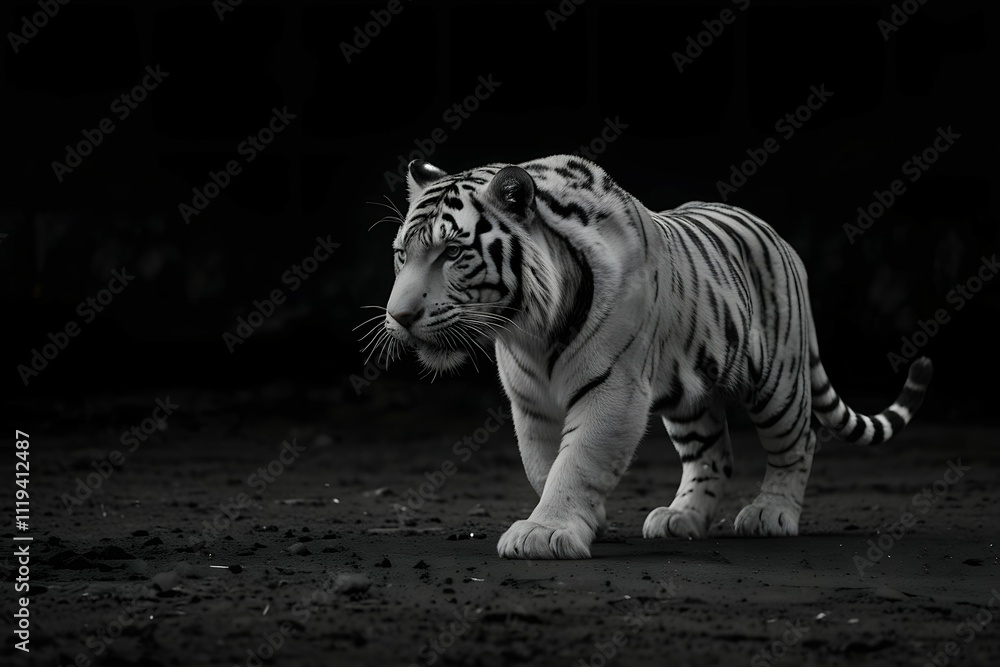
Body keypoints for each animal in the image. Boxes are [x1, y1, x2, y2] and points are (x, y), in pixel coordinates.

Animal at [375, 154, 933, 560]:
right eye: (402, 254)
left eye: (452, 253)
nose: (398, 316)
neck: (528, 328)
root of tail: (777, 236)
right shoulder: (531, 403)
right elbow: (543, 464)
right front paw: (584, 520)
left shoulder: (613, 390)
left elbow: (576, 460)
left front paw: (545, 532)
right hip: (691, 401)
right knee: (714, 455)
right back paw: (680, 519)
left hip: (778, 380)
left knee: (799, 441)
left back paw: (771, 515)